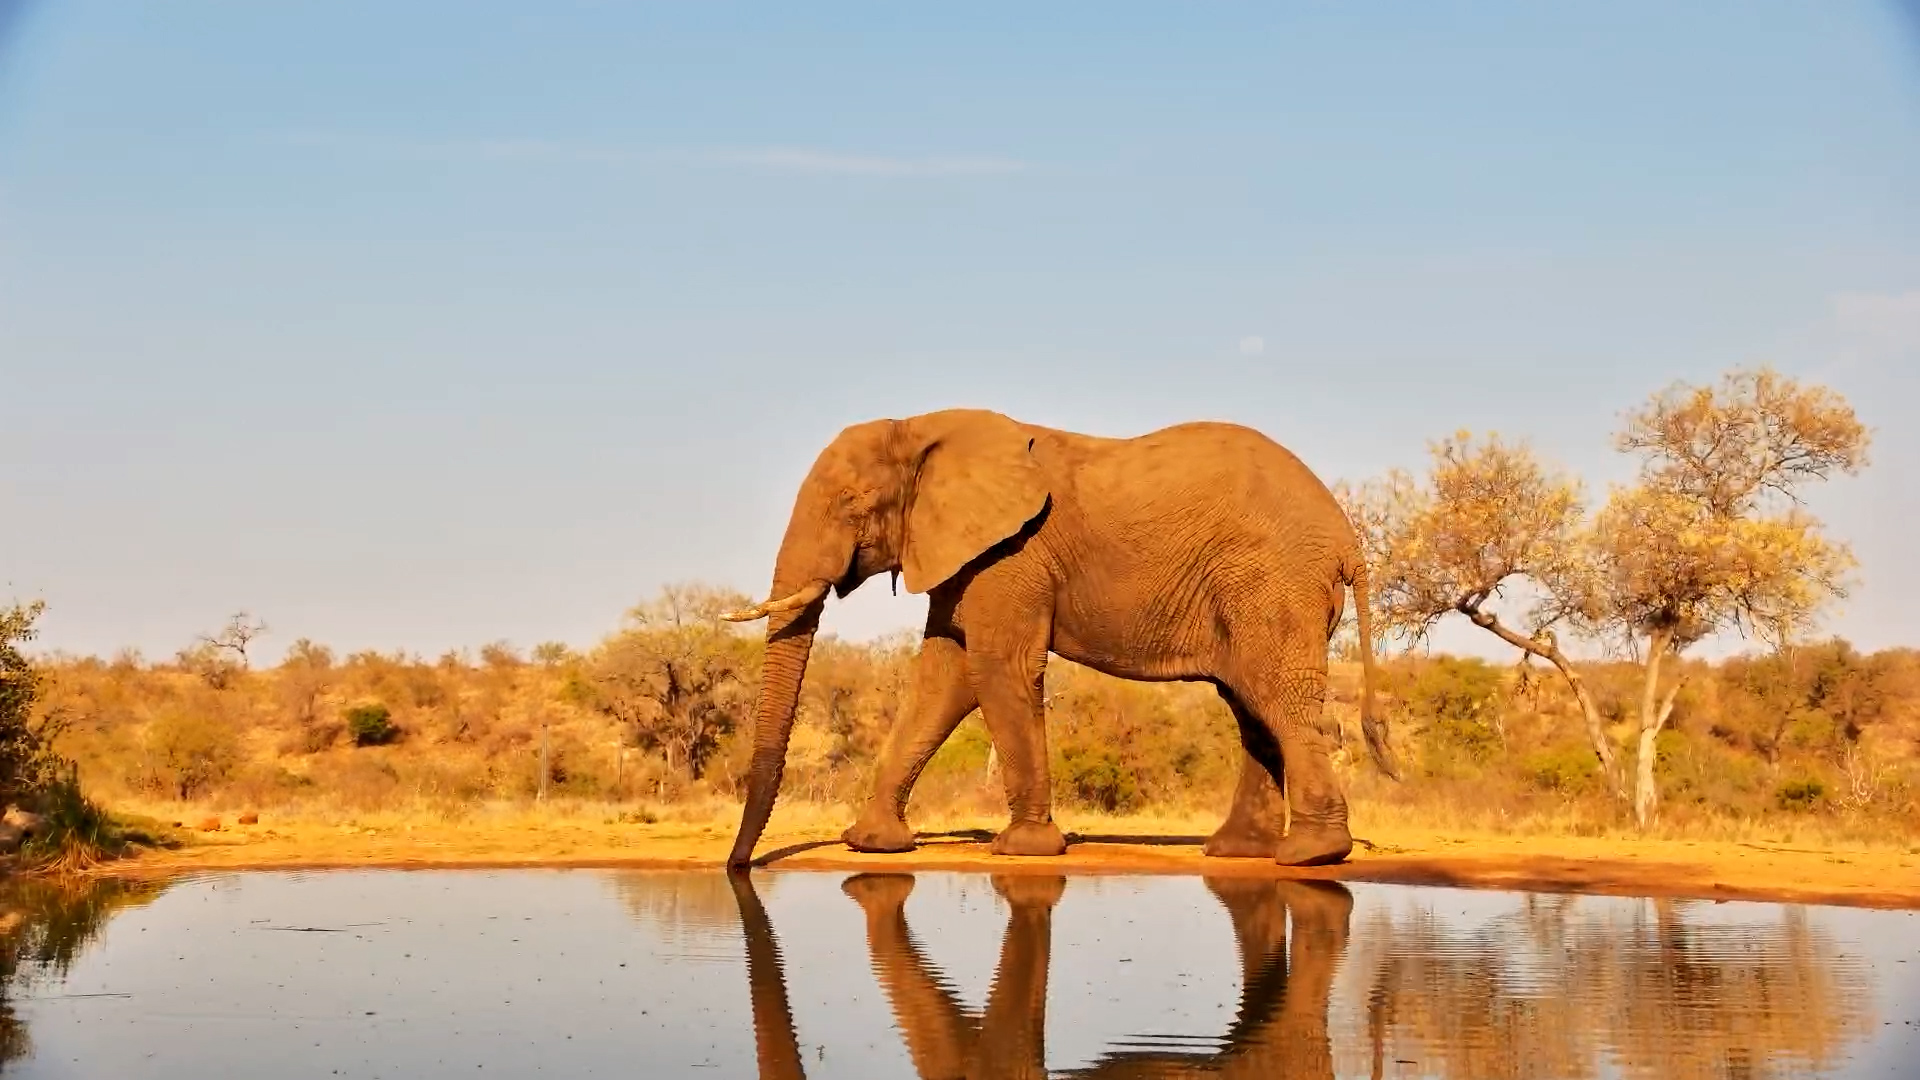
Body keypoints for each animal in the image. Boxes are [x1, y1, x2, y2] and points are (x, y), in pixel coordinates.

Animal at [718, 407, 1398, 869]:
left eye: (852, 502)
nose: (738, 868)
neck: (920, 428)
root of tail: (1347, 538)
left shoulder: (1013, 554)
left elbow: (998, 668)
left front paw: (1021, 849)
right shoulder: (966, 554)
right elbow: (943, 678)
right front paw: (872, 844)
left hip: (1272, 582)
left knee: (1277, 697)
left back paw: (1311, 854)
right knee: (1250, 703)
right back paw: (1236, 852)